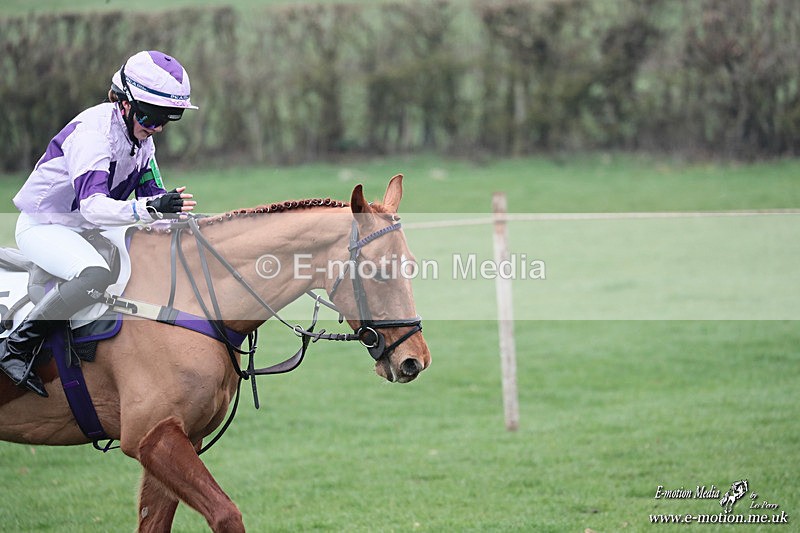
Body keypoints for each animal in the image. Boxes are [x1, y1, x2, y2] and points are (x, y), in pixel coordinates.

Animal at [0, 175, 430, 532]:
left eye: (410, 266)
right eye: (380, 271)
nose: (415, 360)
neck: (190, 300)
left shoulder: (179, 439)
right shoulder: (153, 437)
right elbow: (226, 515)